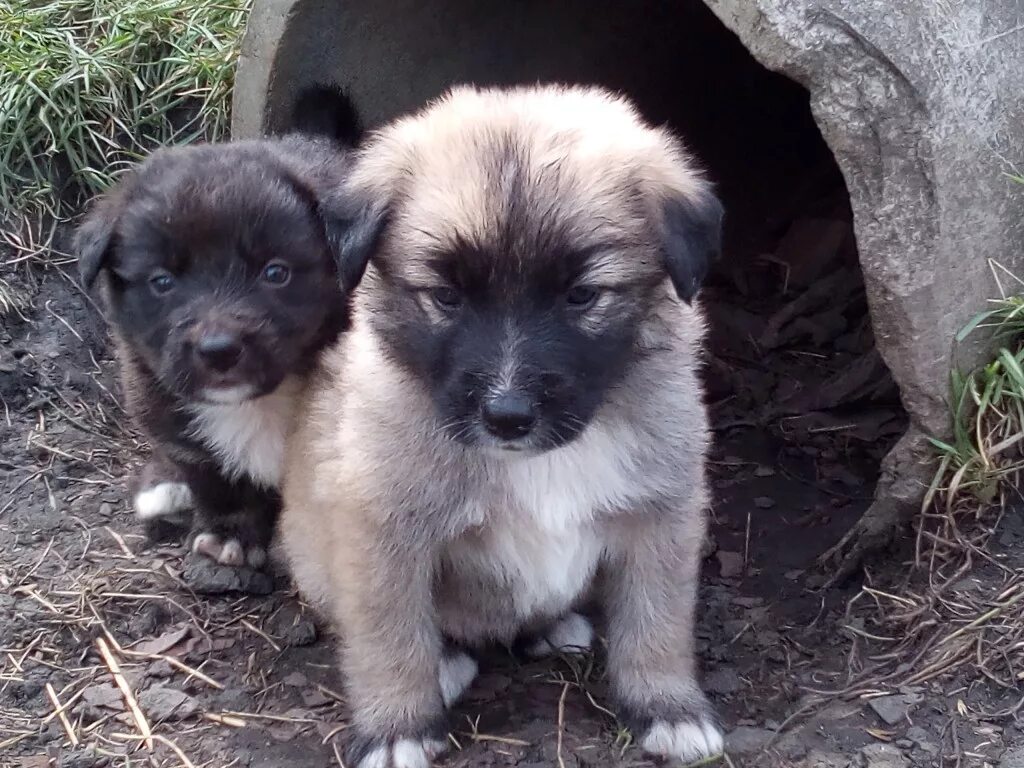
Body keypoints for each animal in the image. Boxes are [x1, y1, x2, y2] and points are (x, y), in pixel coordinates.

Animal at [76, 118, 356, 573]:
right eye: (162, 281)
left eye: (275, 273)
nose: (219, 350)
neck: (254, 405)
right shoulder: (174, 426)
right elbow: (217, 480)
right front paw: (229, 535)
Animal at [284, 85, 724, 768]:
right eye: (447, 296)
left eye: (580, 295)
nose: (508, 416)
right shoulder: (381, 528)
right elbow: (389, 634)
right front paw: (397, 726)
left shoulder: (664, 512)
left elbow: (658, 620)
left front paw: (668, 707)